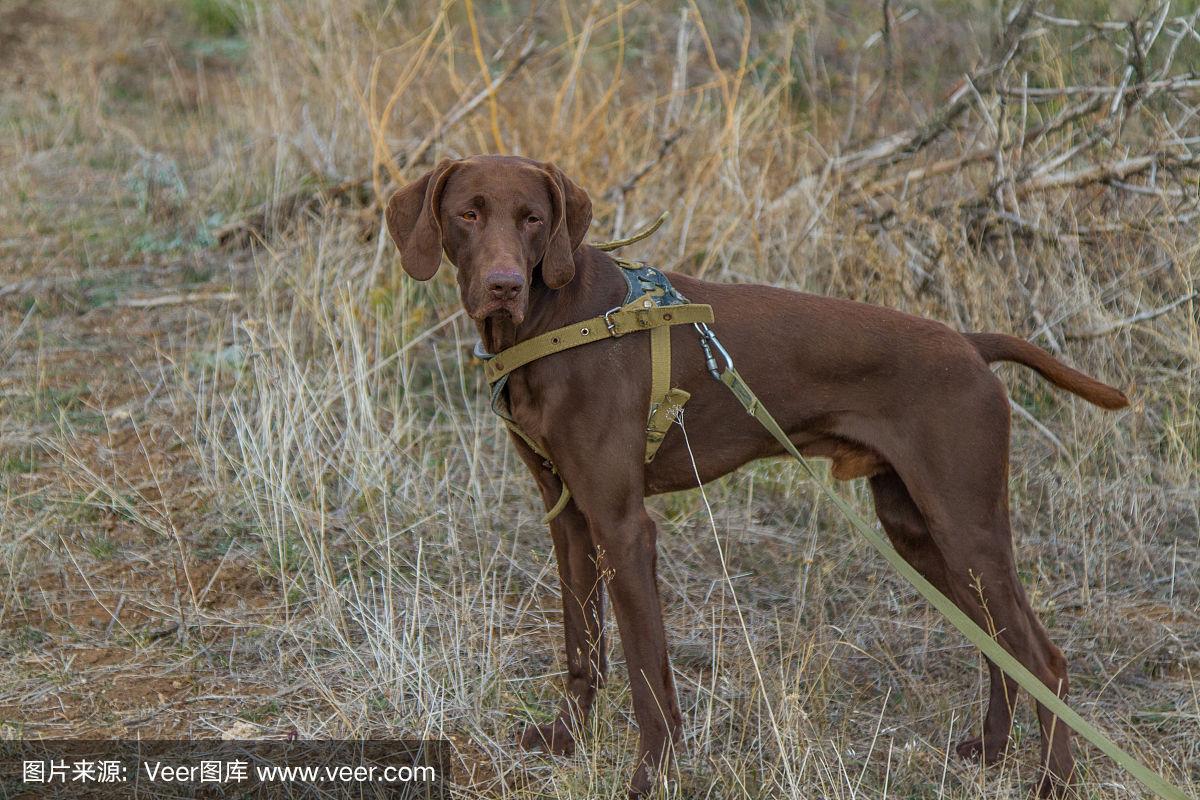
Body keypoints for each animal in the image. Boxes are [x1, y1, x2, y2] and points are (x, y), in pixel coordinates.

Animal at [384, 153, 1123, 796]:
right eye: (468, 214)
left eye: (533, 218)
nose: (504, 284)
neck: (557, 320)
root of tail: (971, 345)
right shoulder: (568, 516)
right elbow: (582, 648)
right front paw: (566, 743)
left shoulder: (623, 525)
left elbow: (647, 671)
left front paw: (650, 775)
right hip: (918, 530)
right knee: (1000, 647)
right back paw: (991, 751)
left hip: (964, 526)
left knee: (1044, 660)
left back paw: (1053, 782)